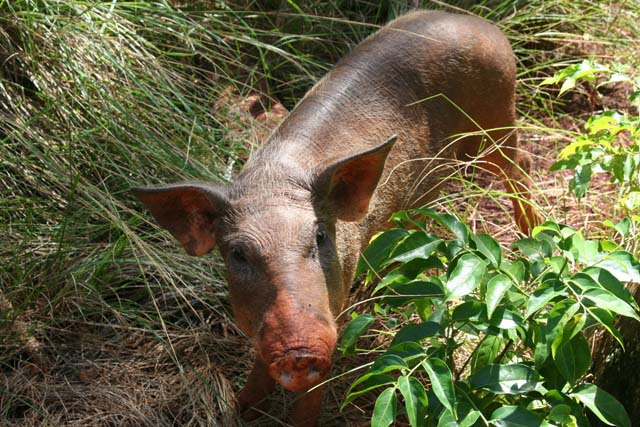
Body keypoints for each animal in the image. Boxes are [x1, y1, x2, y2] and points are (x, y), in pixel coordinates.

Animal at [134, 10, 540, 427]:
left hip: (495, 118)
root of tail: (476, 21)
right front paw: (240, 409)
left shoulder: (339, 288)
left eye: (320, 237)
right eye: (237, 254)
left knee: (520, 163)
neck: (276, 175)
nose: (299, 352)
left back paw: (531, 233)